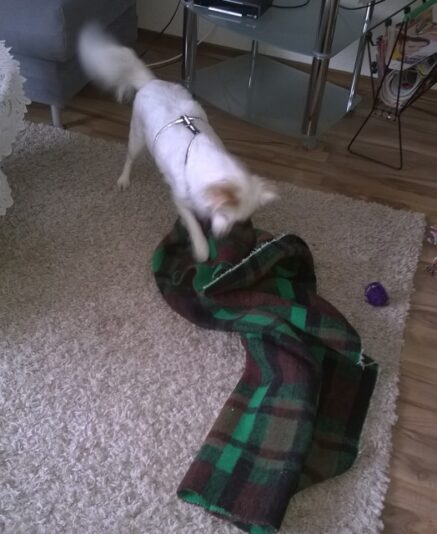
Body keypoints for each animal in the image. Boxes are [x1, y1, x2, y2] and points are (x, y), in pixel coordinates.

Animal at [78, 25, 276, 262]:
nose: (222, 236)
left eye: (238, 220)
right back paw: (124, 179)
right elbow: (193, 225)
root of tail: (150, 82)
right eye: (224, 214)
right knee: (129, 158)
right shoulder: (181, 200)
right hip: (137, 138)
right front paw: (201, 249)